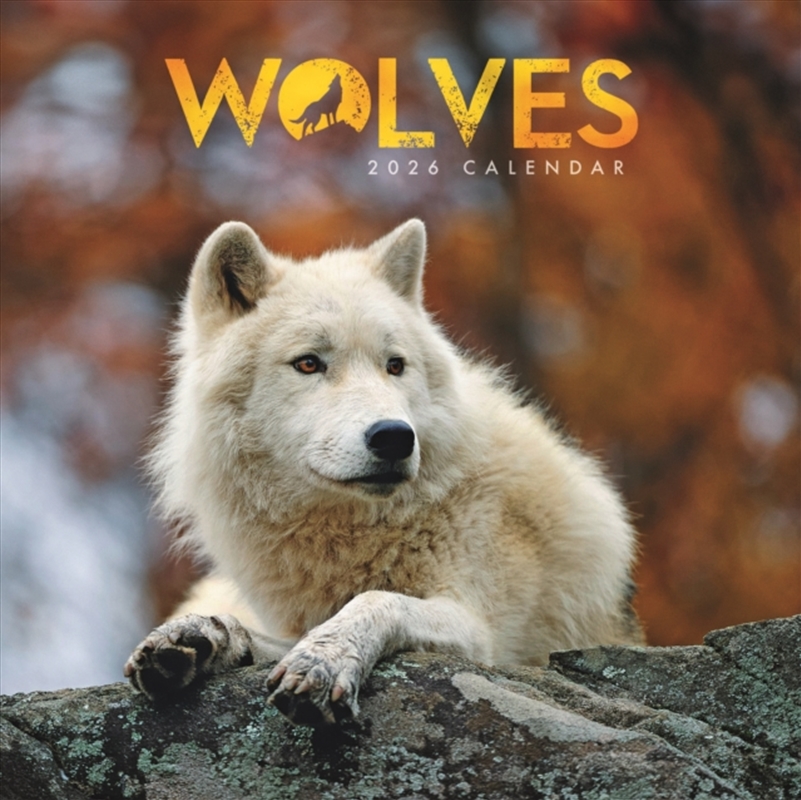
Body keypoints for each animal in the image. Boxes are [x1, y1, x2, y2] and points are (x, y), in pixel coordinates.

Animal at [125, 219, 643, 725]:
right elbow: (271, 633)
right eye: (308, 363)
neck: (358, 532)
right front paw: (201, 638)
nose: (394, 436)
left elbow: (376, 600)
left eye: (395, 365)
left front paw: (322, 660)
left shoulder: (481, 633)